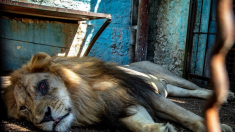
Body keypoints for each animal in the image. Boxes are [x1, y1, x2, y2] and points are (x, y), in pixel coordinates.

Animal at [2, 52, 234, 131]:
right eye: (24, 108)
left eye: (42, 85)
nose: (45, 118)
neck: (85, 98)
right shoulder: (119, 106)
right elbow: (137, 124)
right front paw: (159, 129)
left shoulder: (144, 94)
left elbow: (185, 114)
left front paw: (215, 126)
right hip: (167, 88)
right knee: (184, 93)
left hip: (168, 76)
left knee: (193, 87)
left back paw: (225, 95)